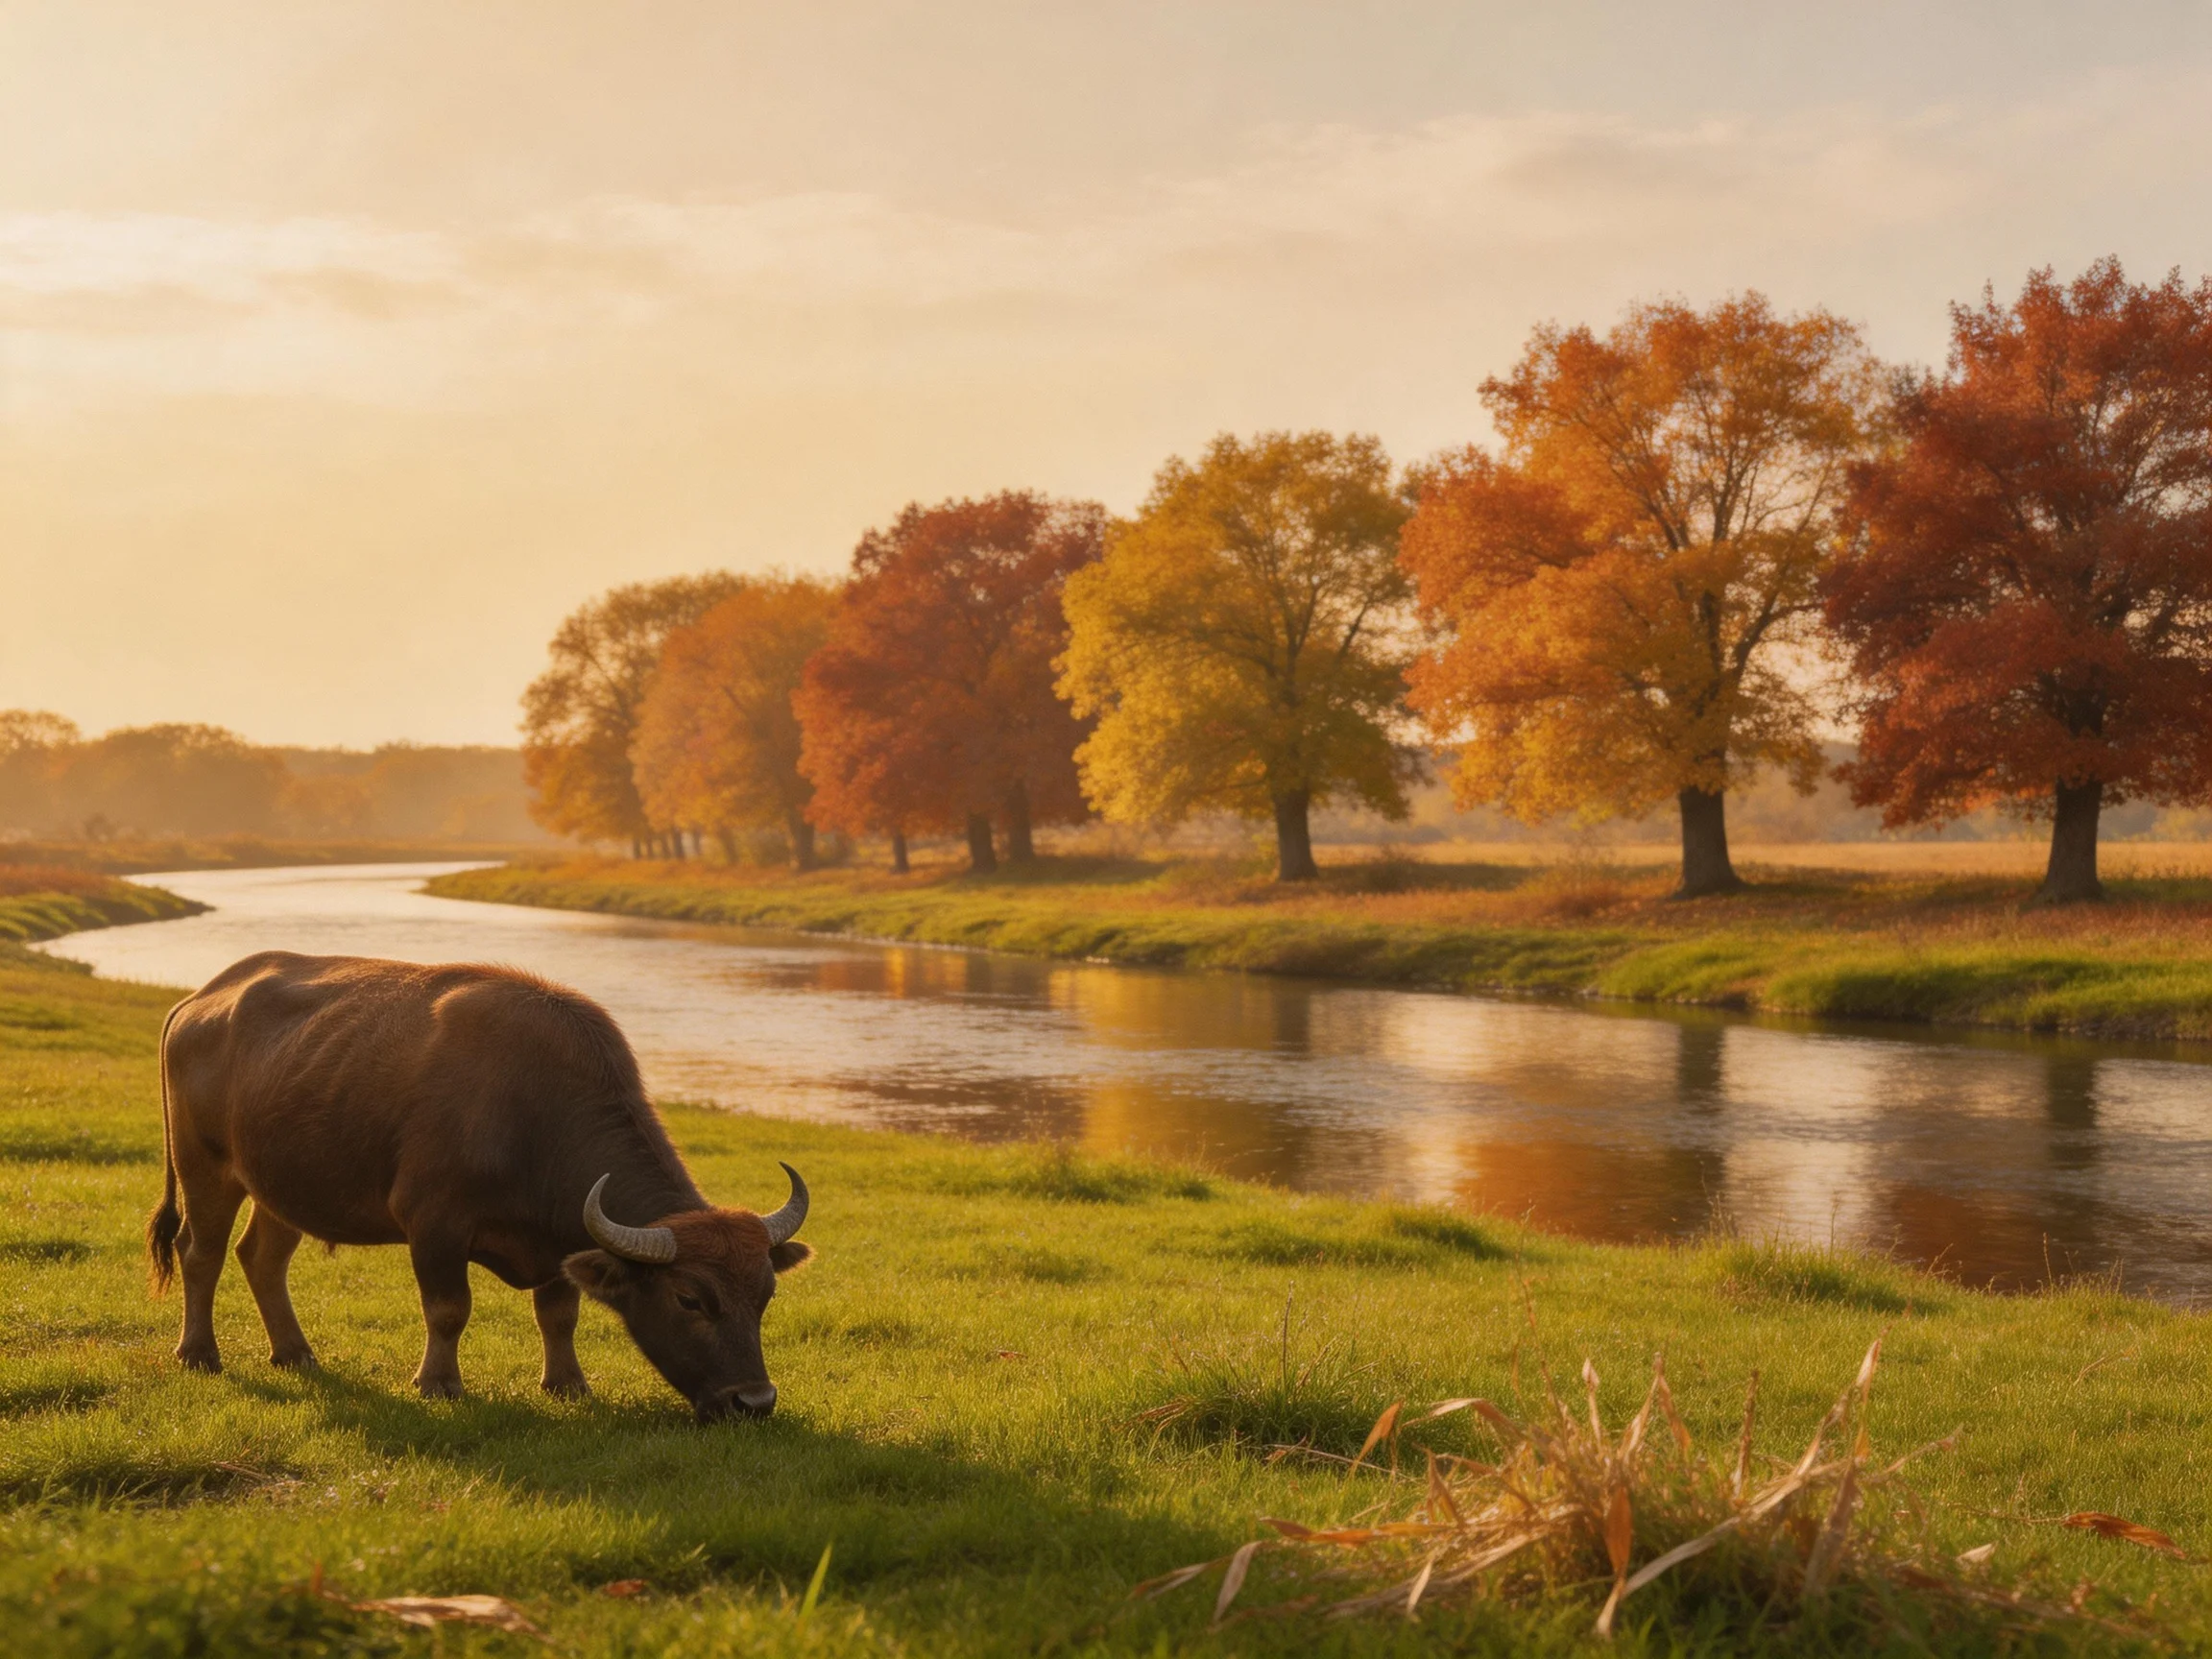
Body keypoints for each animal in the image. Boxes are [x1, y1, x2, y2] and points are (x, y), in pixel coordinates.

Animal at [145, 950, 812, 1421]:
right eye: (690, 1299)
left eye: (765, 1295)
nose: (753, 1403)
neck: (530, 1110)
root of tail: (200, 1000)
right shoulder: (434, 1225)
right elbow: (448, 1309)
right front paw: (438, 1383)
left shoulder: (559, 1239)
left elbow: (558, 1314)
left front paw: (568, 1384)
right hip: (204, 1166)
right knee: (199, 1253)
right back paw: (199, 1353)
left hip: (282, 1184)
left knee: (262, 1257)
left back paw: (295, 1352)